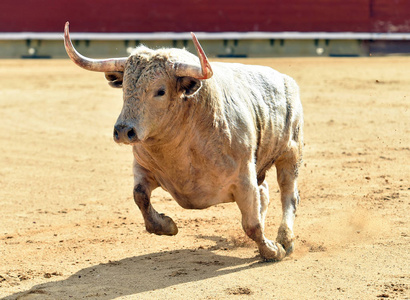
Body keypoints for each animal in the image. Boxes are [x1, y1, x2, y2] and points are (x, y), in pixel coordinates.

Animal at [63, 22, 302, 260]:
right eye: (125, 87)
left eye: (160, 91)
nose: (123, 131)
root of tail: (286, 80)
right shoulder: (142, 165)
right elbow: (139, 195)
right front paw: (166, 225)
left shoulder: (244, 177)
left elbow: (252, 224)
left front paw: (273, 250)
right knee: (265, 193)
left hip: (291, 152)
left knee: (288, 194)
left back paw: (286, 240)